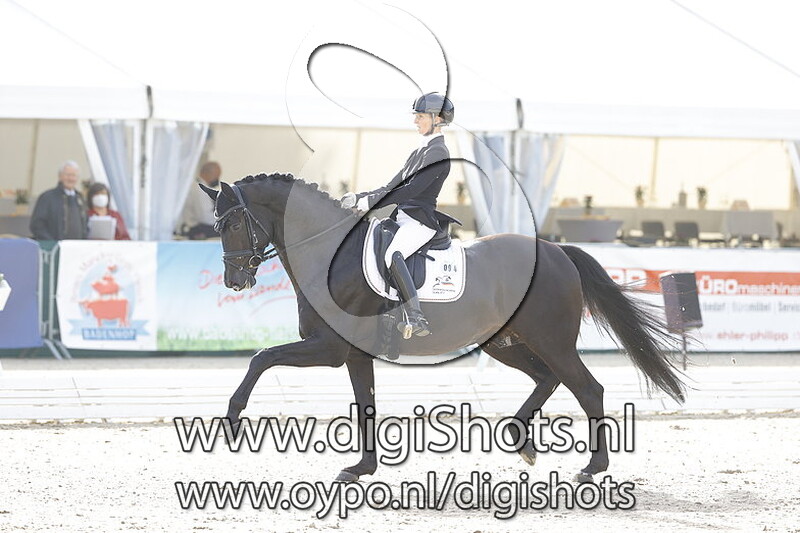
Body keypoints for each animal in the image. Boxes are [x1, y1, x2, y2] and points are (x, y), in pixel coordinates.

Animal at [202, 172, 685, 483]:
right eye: (216, 225)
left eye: (233, 223)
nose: (234, 280)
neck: (329, 253)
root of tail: (556, 250)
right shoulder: (353, 355)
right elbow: (365, 406)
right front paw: (361, 469)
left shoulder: (330, 348)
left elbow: (261, 357)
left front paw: (232, 420)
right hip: (503, 343)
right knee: (547, 378)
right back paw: (521, 440)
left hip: (553, 341)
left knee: (587, 388)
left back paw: (591, 468)